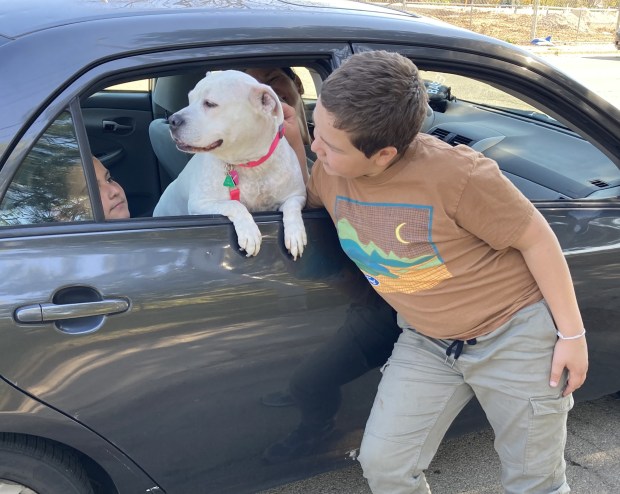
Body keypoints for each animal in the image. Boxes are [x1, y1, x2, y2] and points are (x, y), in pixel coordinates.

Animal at [153, 72, 308, 262]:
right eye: (190, 99)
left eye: (210, 104)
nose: (173, 120)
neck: (249, 163)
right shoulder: (201, 203)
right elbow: (234, 205)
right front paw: (249, 232)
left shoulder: (297, 195)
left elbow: (291, 208)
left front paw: (295, 234)